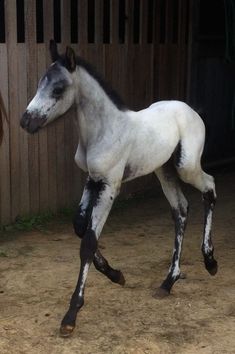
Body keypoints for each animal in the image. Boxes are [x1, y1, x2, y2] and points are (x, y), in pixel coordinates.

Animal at [20, 40, 217, 336]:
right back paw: (168, 282)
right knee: (180, 210)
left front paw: (71, 315)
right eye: (39, 84)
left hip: (186, 166)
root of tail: (189, 109)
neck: (103, 131)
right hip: (164, 170)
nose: (26, 121)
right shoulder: (92, 180)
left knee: (210, 188)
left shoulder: (111, 185)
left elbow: (89, 241)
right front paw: (115, 275)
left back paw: (210, 262)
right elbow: (80, 227)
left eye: (58, 88)